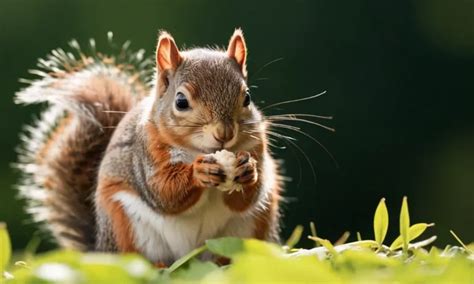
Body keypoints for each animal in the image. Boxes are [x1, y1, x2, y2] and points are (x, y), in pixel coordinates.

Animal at [14, 28, 284, 264]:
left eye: (247, 97)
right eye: (181, 101)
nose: (224, 133)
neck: (199, 151)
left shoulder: (257, 144)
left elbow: (245, 199)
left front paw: (248, 170)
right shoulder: (147, 153)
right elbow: (163, 192)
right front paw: (199, 171)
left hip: (251, 227)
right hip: (124, 224)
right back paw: (159, 266)